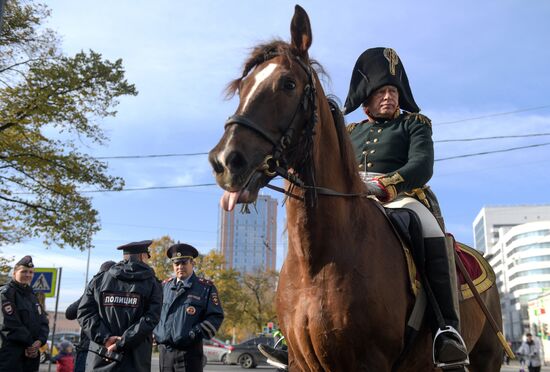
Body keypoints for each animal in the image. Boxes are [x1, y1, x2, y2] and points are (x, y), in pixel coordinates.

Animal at [210, 6, 504, 372]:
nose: (224, 161)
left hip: (486, 357)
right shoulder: (301, 362)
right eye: (242, 87)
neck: (317, 263)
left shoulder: (368, 362)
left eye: (288, 84)